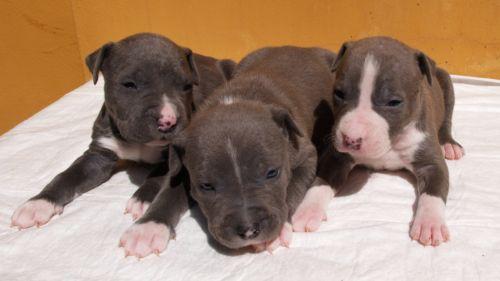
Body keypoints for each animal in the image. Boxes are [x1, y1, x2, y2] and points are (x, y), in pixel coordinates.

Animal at [11, 32, 236, 230]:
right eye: (129, 84)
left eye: (187, 86)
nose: (168, 120)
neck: (138, 142)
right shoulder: (99, 155)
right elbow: (67, 175)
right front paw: (38, 203)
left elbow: (158, 175)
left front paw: (142, 199)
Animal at [117, 46, 336, 258]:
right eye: (206, 186)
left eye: (272, 173)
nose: (249, 231)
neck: (237, 99)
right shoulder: (182, 168)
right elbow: (169, 192)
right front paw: (146, 230)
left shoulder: (306, 156)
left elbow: (293, 188)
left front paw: (278, 233)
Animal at [312, 36, 464, 246]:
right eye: (339, 93)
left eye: (394, 102)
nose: (351, 139)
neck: (392, 142)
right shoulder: (337, 156)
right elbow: (323, 179)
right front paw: (306, 211)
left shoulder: (431, 162)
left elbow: (433, 192)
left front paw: (430, 223)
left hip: (446, 81)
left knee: (448, 116)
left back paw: (449, 144)